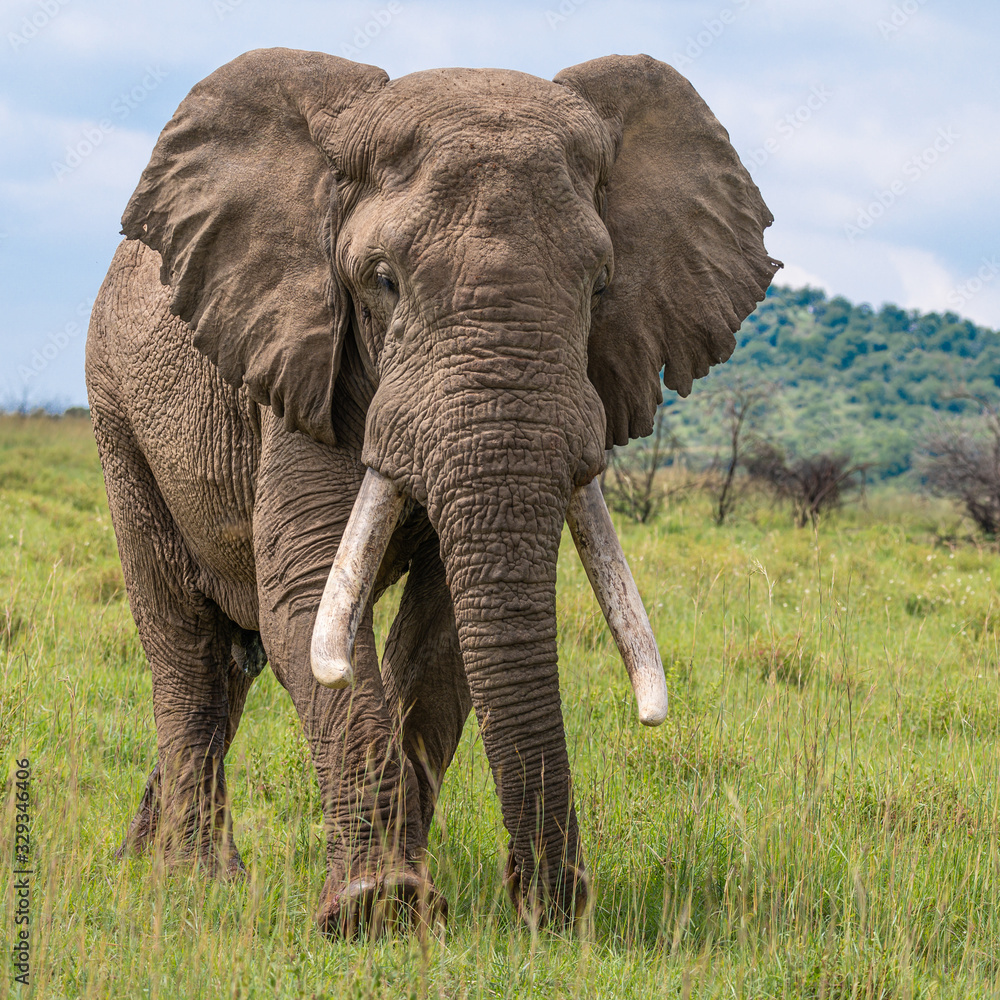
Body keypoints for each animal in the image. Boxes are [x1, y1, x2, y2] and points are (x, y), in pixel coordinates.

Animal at [85, 47, 779, 935]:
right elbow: (306, 586)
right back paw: (199, 882)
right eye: (382, 280)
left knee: (234, 663)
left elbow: (441, 631)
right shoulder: (305, 365)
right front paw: (377, 909)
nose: (556, 904)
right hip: (119, 418)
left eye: (599, 286)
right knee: (189, 650)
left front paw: (417, 902)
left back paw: (142, 861)